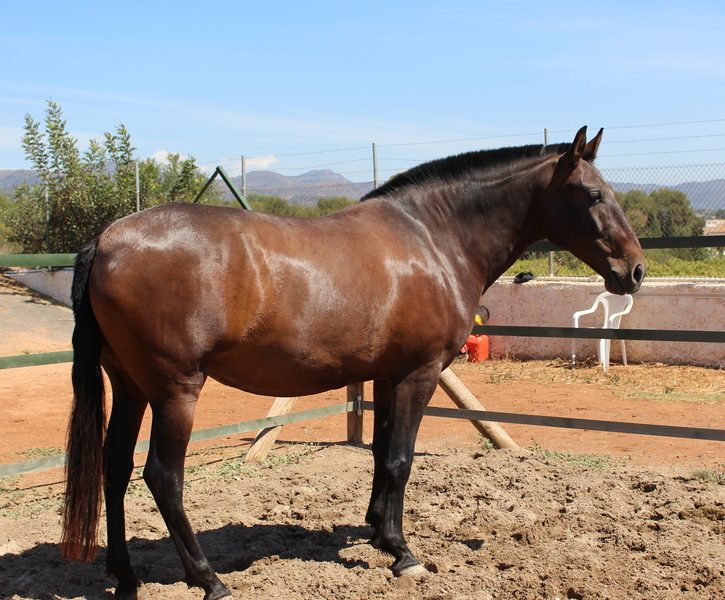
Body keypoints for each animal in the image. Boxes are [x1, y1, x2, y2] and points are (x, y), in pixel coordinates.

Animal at [62, 127, 645, 599]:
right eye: (595, 194)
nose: (635, 271)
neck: (433, 238)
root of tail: (105, 239)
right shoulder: (418, 375)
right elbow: (400, 459)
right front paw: (404, 554)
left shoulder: (387, 377)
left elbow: (383, 454)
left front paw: (381, 534)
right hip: (175, 390)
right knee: (162, 477)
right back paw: (209, 580)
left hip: (132, 386)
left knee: (115, 469)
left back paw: (125, 576)